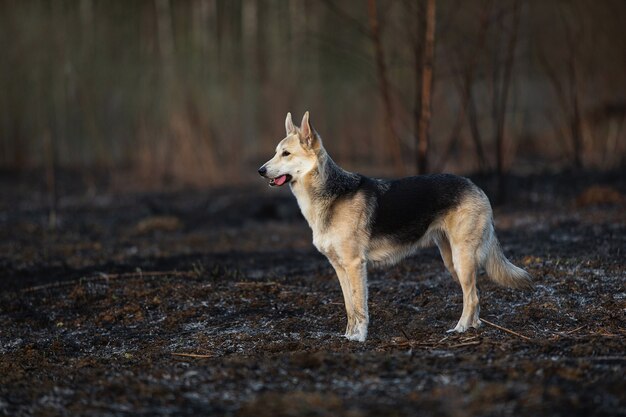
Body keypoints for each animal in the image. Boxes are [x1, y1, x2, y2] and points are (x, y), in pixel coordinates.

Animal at [256, 111, 528, 342]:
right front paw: (348, 337)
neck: (330, 194)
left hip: (462, 259)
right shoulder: (339, 267)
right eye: (276, 152)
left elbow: (360, 307)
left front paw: (359, 338)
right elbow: (349, 307)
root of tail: (476, 186)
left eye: (286, 154)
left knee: (472, 297)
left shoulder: (355, 265)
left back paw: (459, 329)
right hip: (452, 261)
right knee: (475, 297)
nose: (260, 171)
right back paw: (472, 328)